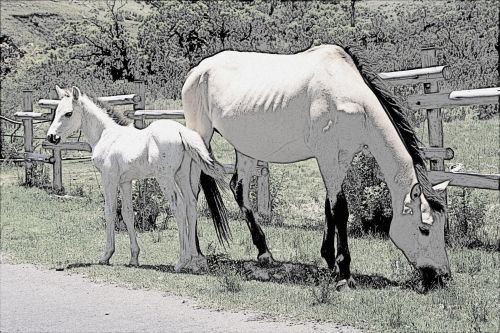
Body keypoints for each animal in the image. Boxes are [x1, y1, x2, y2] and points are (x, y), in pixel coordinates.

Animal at [46, 85, 229, 270]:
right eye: (56, 111)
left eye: (68, 113)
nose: (51, 137)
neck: (106, 135)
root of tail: (180, 131)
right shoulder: (125, 181)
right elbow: (127, 213)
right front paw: (134, 257)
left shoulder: (109, 178)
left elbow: (110, 211)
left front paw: (106, 255)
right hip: (183, 175)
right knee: (191, 205)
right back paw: (195, 261)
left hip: (166, 178)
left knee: (179, 206)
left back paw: (181, 261)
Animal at [182, 44, 452, 288]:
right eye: (424, 229)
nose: (443, 275)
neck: (347, 95)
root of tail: (197, 71)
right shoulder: (326, 155)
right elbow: (340, 209)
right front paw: (344, 272)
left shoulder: (342, 158)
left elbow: (328, 205)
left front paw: (329, 259)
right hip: (200, 135)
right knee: (192, 192)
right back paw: (195, 255)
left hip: (246, 148)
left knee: (238, 190)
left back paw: (264, 253)